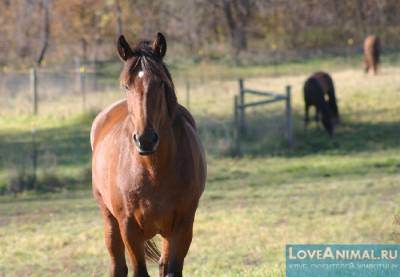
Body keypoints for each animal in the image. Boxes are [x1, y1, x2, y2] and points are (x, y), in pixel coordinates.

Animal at [91, 33, 206, 276]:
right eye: (126, 85)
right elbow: (138, 271)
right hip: (109, 220)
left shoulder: (183, 225)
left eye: (160, 82)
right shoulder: (128, 227)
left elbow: (172, 270)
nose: (145, 139)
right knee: (118, 266)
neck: (153, 170)